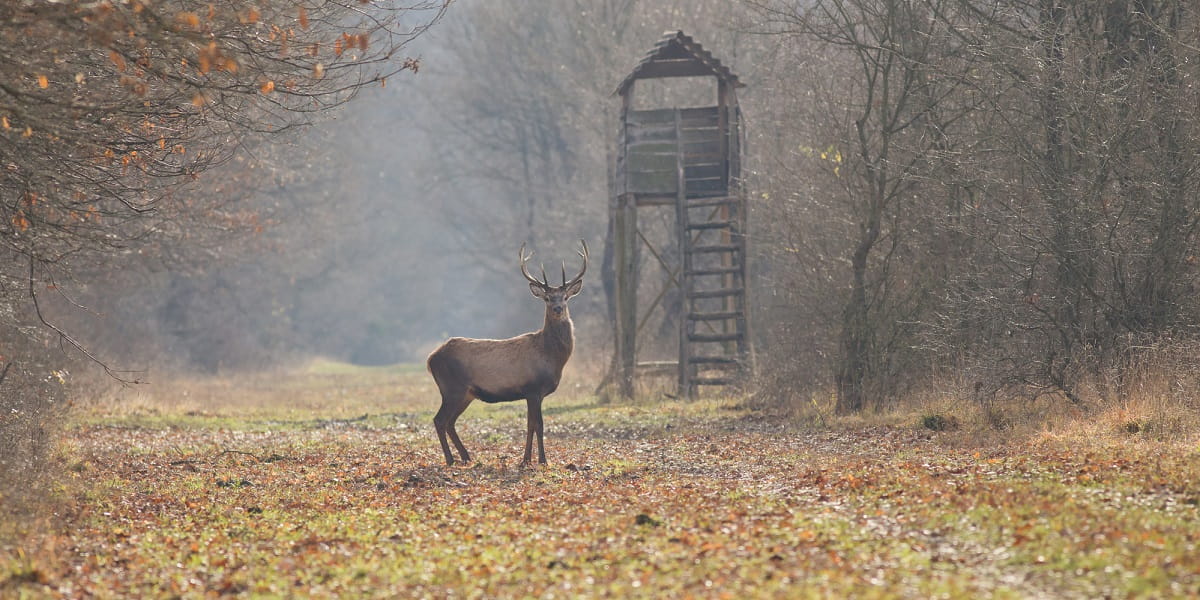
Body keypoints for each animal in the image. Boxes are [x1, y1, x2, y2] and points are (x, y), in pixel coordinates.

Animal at [427, 241, 585, 465]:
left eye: (565, 297)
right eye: (547, 298)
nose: (557, 308)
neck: (551, 358)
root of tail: (431, 358)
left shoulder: (532, 393)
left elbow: (530, 425)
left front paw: (526, 460)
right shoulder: (533, 389)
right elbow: (538, 425)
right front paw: (542, 460)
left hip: (466, 393)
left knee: (449, 421)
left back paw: (466, 456)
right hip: (452, 387)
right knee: (439, 419)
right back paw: (451, 459)